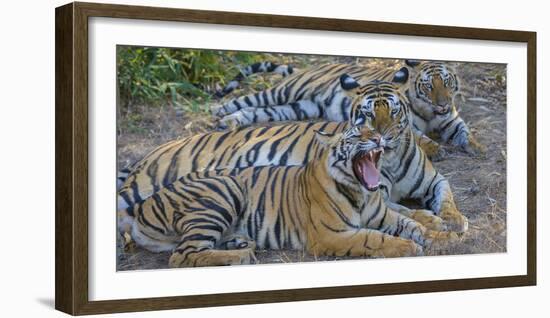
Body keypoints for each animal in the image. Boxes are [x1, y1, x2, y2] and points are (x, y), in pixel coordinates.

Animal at [117, 125, 458, 268]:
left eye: (373, 131)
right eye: (355, 135)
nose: (378, 138)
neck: (360, 192)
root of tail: (141, 208)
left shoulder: (385, 215)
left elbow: (414, 225)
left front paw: (446, 238)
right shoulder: (332, 235)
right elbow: (373, 238)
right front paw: (408, 247)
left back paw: (240, 245)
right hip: (223, 190)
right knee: (182, 255)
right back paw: (240, 257)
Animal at [119, 80, 470, 231]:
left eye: (393, 112)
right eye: (368, 115)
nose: (380, 136)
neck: (393, 159)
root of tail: (150, 153)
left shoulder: (434, 180)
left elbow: (448, 196)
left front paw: (454, 219)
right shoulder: (375, 196)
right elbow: (405, 210)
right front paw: (431, 220)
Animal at [213, 60, 486, 157]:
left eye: (447, 83)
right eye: (429, 86)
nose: (443, 104)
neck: (431, 113)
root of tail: (308, 68)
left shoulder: (452, 121)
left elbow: (465, 131)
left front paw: (476, 147)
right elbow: (421, 138)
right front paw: (436, 149)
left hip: (297, 108)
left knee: (256, 112)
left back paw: (230, 121)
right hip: (284, 92)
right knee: (247, 99)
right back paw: (220, 111)